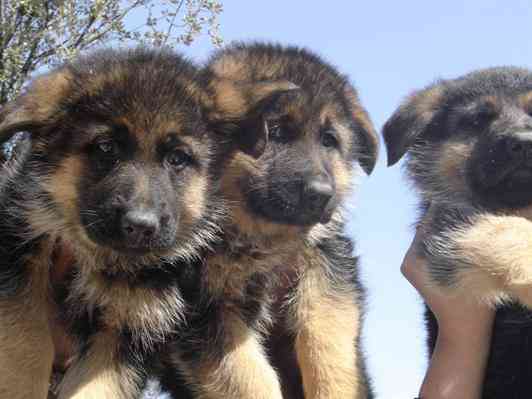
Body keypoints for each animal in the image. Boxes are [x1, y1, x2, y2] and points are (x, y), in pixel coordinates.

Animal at [0, 47, 227, 399]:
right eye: (106, 147)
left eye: (177, 159)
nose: (140, 226)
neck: (100, 258)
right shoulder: (20, 256)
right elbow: (26, 345)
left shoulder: (124, 329)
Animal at [159, 43, 378, 399]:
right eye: (274, 132)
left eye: (329, 140)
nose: (321, 194)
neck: (260, 242)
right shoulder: (206, 314)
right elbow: (249, 377)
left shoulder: (326, 267)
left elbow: (325, 338)